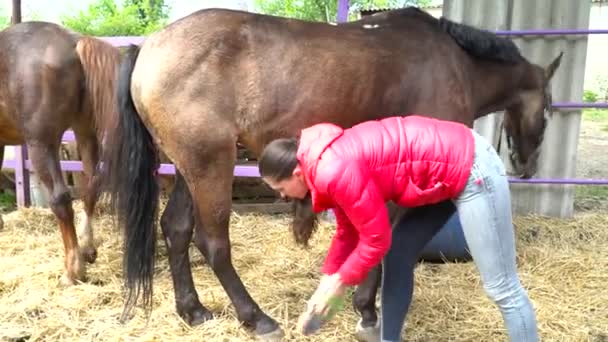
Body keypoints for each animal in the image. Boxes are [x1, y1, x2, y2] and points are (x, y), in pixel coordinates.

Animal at [0, 22, 120, 286]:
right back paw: (87, 249)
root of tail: (74, 42)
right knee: (90, 188)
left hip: (42, 144)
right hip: (85, 133)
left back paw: (72, 271)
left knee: (61, 198)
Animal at [103, 6, 560, 340]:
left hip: (187, 169)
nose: (527, 166)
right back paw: (257, 318)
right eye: (551, 109)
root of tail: (148, 47)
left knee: (176, 229)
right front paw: (367, 311)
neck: (454, 61)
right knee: (213, 243)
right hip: (211, 166)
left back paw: (193, 310)